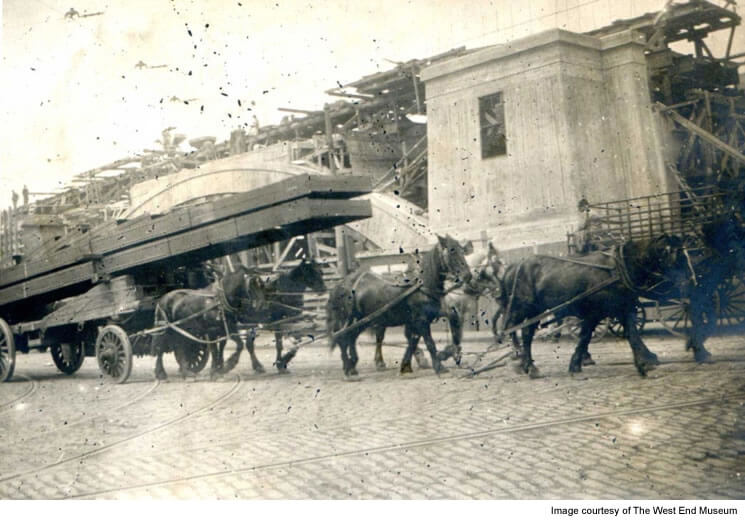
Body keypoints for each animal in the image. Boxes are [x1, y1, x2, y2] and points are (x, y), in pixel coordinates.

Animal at [326, 234, 470, 376]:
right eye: (452, 252)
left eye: (463, 251)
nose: (468, 275)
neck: (421, 284)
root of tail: (340, 285)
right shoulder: (421, 320)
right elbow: (429, 342)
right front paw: (439, 366)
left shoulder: (421, 318)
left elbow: (414, 340)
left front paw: (407, 365)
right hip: (348, 319)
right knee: (342, 338)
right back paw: (349, 368)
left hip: (362, 319)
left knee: (351, 337)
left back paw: (353, 364)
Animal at [492, 236, 688, 378]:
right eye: (678, 257)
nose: (689, 284)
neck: (619, 268)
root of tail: (513, 266)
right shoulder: (595, 312)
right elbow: (585, 336)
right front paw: (576, 363)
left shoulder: (622, 307)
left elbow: (632, 334)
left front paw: (645, 360)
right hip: (522, 308)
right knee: (513, 330)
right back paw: (522, 360)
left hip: (535, 310)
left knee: (526, 334)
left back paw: (529, 365)